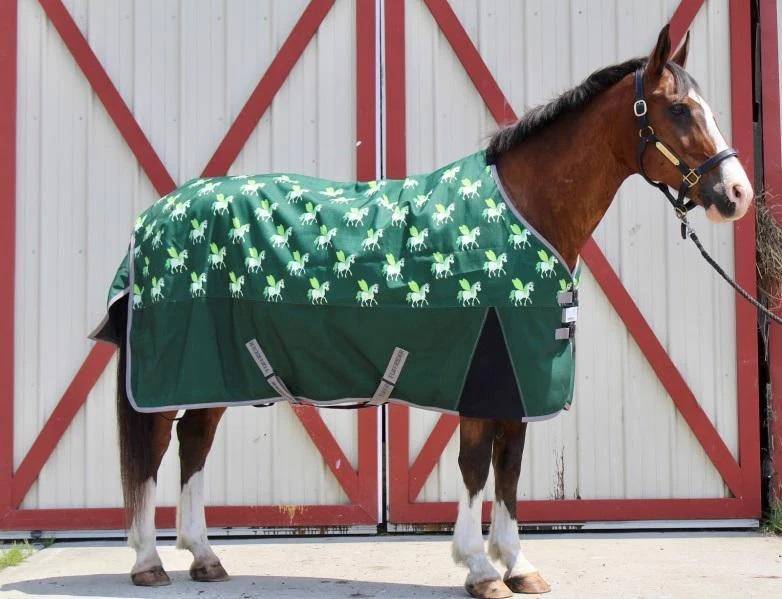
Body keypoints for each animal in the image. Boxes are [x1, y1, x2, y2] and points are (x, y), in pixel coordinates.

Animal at [109, 25, 752, 597]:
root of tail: (155, 215)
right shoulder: (487, 371)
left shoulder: (516, 382)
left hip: (215, 371)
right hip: (175, 370)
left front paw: (518, 565)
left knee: (193, 442)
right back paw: (147, 562)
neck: (524, 213)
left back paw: (204, 556)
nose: (738, 194)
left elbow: (509, 469)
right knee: (153, 450)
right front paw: (480, 569)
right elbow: (474, 468)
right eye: (678, 110)